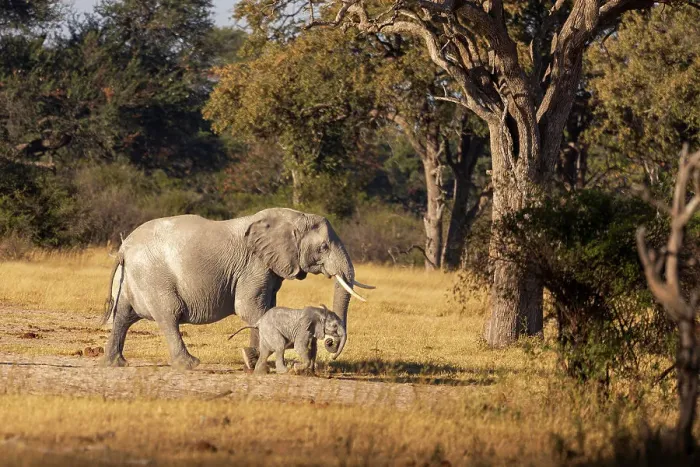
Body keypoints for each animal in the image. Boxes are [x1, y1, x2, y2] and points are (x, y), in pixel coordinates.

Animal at [100, 208, 374, 369]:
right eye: (324, 247)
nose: (330, 344)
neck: (290, 217)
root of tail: (124, 248)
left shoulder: (270, 268)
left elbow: (267, 308)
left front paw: (253, 361)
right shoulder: (254, 265)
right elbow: (250, 309)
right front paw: (258, 360)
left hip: (130, 279)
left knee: (123, 316)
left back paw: (115, 363)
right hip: (153, 276)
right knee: (169, 315)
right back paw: (190, 364)